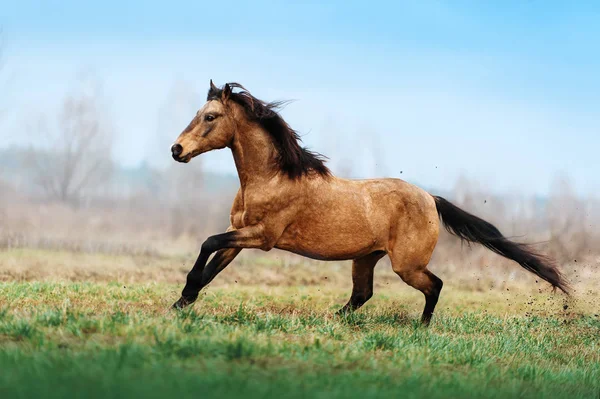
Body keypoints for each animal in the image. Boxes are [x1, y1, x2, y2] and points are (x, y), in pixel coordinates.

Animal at [169, 80, 568, 324]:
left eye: (210, 116)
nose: (177, 150)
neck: (272, 177)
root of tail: (431, 198)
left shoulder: (262, 236)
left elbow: (207, 244)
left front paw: (182, 297)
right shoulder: (238, 233)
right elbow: (212, 265)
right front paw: (180, 303)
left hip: (406, 265)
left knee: (434, 285)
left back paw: (421, 328)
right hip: (366, 257)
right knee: (363, 293)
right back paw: (335, 320)